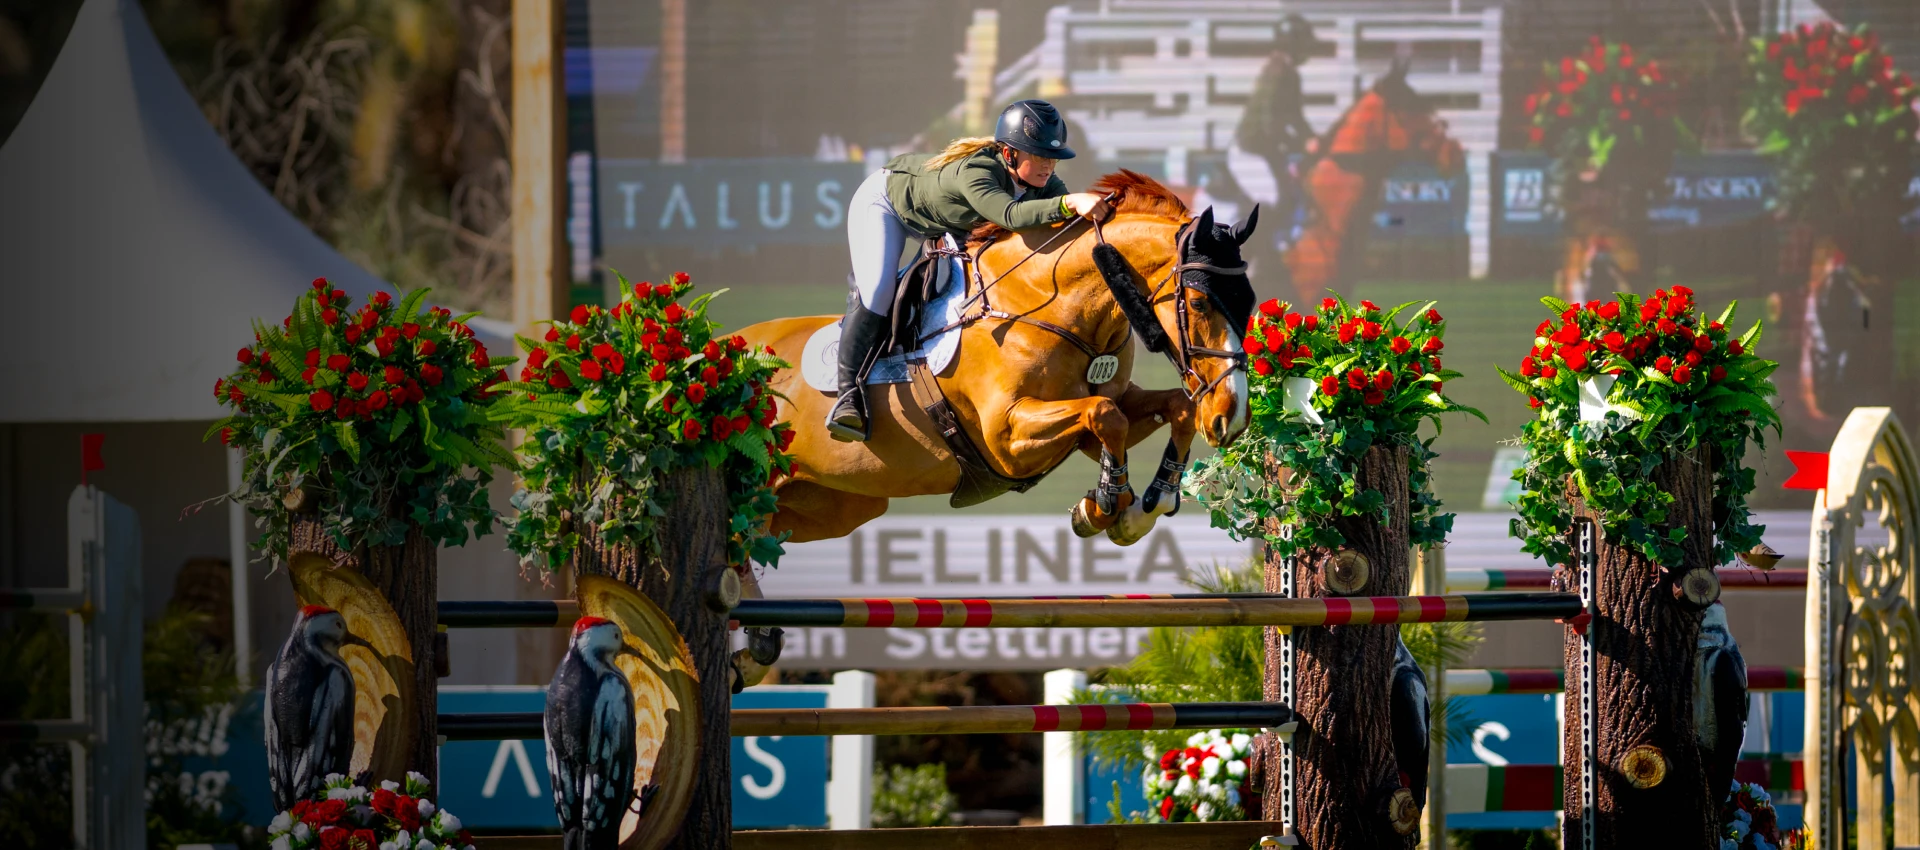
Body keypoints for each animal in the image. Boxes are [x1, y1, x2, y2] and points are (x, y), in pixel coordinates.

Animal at [737, 171, 1259, 552]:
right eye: (1199, 303)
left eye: (1250, 304)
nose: (1231, 419)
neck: (1046, 305)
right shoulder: (1006, 436)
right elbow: (1104, 415)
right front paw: (1104, 506)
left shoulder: (1107, 413)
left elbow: (1173, 409)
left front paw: (1145, 506)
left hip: (827, 506)